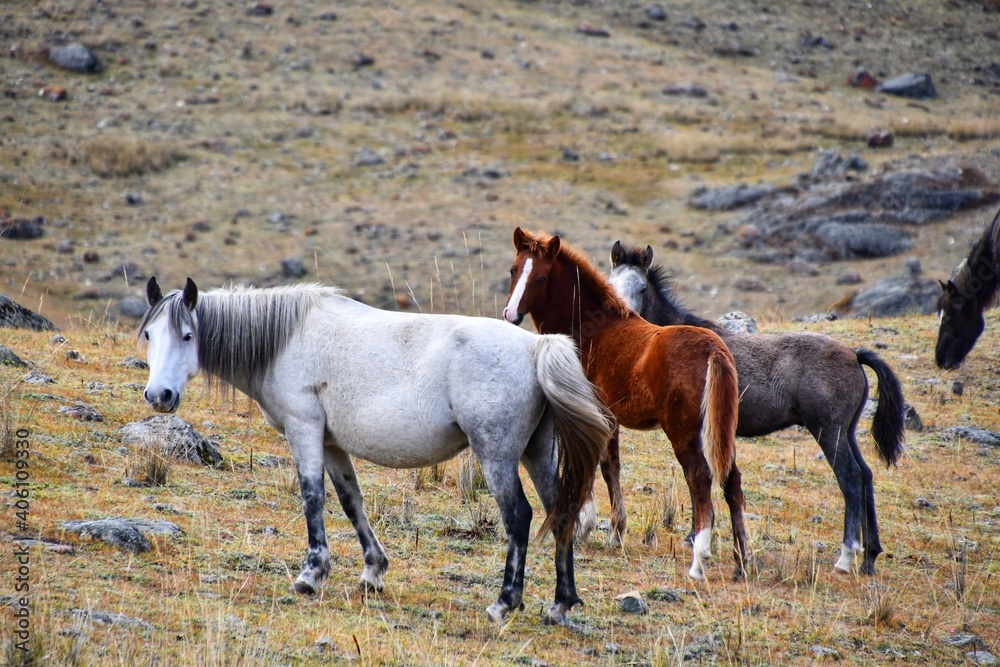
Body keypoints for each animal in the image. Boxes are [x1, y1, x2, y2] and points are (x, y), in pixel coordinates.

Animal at [138, 277, 613, 626]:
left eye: (187, 335)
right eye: (148, 335)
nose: (159, 396)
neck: (286, 339)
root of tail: (536, 346)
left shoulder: (303, 429)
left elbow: (313, 498)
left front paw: (311, 575)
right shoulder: (331, 443)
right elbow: (352, 502)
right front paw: (373, 571)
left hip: (496, 456)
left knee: (519, 517)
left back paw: (504, 602)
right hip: (537, 453)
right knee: (560, 511)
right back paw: (560, 604)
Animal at [502, 229, 749, 581]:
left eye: (542, 277)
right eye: (513, 270)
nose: (510, 316)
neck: (592, 328)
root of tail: (714, 350)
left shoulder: (586, 410)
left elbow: (591, 464)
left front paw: (584, 525)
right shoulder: (610, 417)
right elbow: (611, 467)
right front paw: (615, 533)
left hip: (683, 430)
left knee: (700, 476)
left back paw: (699, 560)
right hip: (717, 429)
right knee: (731, 478)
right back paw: (742, 562)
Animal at [608, 242, 906, 575]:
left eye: (642, 288)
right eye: (610, 283)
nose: (625, 319)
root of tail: (854, 355)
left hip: (829, 431)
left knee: (851, 478)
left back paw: (845, 558)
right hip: (847, 431)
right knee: (866, 476)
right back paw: (870, 557)